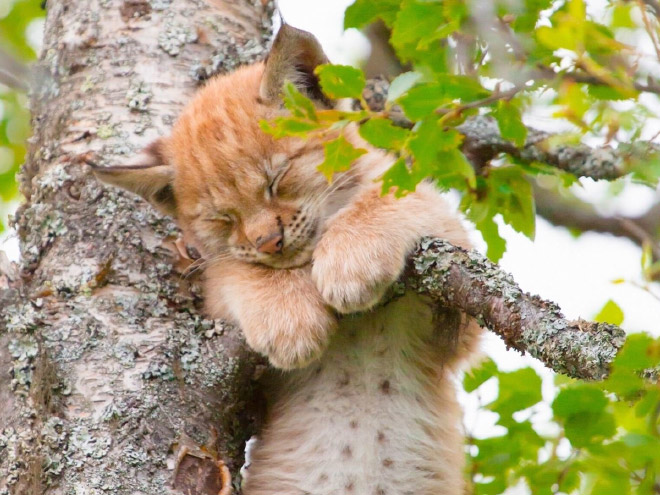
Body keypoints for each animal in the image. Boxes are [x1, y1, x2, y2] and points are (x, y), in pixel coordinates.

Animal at [93, 24, 482, 495]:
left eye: (276, 180)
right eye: (222, 218)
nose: (269, 242)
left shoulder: (456, 325)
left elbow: (393, 195)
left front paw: (351, 260)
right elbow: (232, 268)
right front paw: (290, 318)